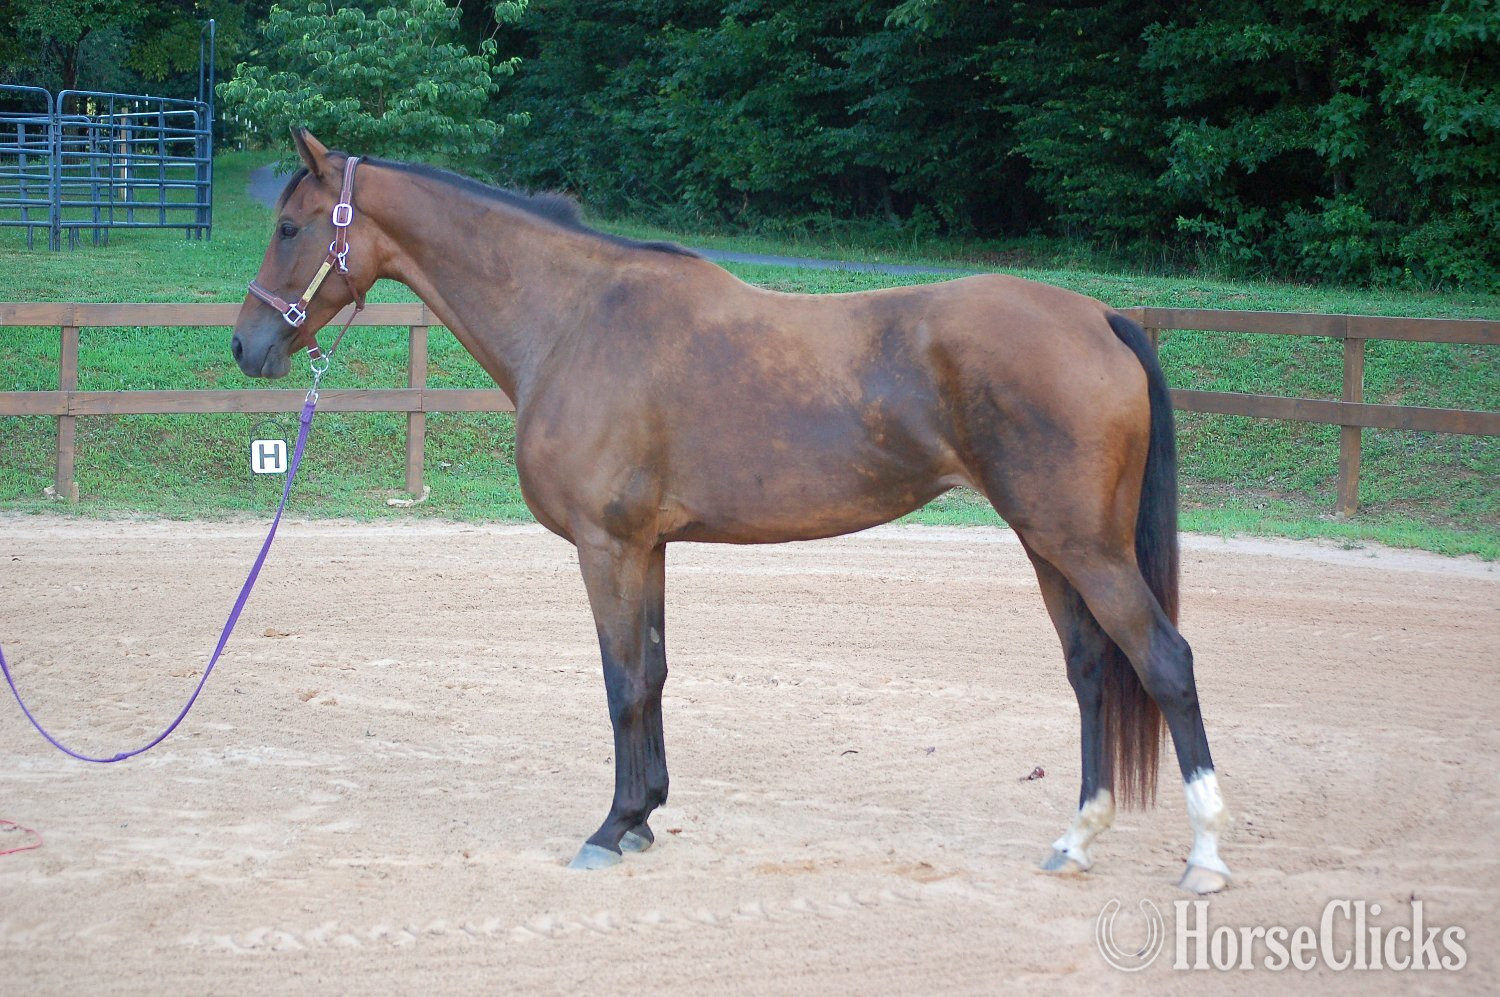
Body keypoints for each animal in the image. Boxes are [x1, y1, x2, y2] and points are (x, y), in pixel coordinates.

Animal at [231, 129, 1231, 892]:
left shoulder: (605, 546)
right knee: (1092, 671)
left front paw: (610, 828)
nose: (246, 345)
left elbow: (621, 683)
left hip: (1084, 546)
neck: (576, 317)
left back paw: (1206, 857)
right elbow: (655, 674)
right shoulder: (650, 546)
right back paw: (1077, 838)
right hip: (1048, 544)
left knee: (1167, 662)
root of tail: (1100, 317)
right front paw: (643, 818)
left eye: (289, 225)